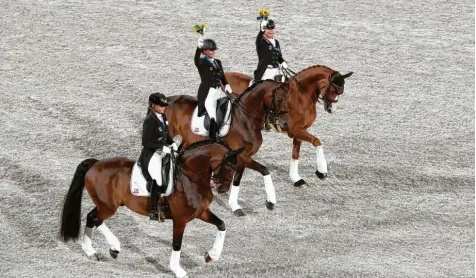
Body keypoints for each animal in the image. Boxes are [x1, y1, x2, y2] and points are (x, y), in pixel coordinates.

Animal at [60, 140, 242, 278]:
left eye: (235, 169)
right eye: (229, 167)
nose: (223, 189)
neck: (191, 177)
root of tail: (95, 164)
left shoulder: (201, 212)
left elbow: (221, 225)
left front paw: (212, 256)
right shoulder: (180, 219)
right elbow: (177, 243)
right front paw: (178, 270)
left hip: (105, 205)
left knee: (91, 217)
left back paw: (95, 251)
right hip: (108, 207)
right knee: (94, 218)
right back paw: (110, 247)